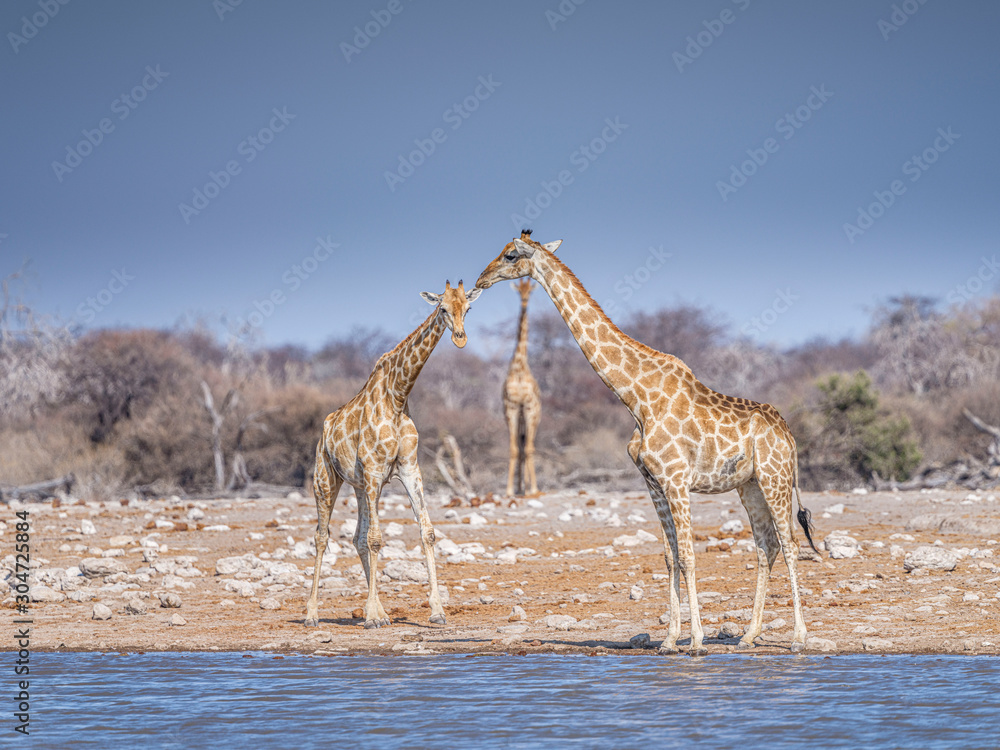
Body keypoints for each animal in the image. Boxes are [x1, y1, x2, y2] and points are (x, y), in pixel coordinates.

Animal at [305, 281, 482, 629]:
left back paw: (381, 612)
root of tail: (324, 431)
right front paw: (372, 617)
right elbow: (377, 539)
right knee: (321, 536)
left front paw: (437, 611)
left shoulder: (409, 469)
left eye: (468, 308)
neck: (398, 396)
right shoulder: (375, 471)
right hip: (325, 480)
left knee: (357, 537)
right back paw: (312, 614)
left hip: (359, 487)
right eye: (443, 308)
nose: (460, 338)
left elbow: (427, 532)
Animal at [476, 234, 817, 654]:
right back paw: (749, 635)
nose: (480, 279)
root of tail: (787, 432)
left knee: (790, 545)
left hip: (775, 477)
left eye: (510, 255)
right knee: (766, 545)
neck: (636, 398)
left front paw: (696, 640)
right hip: (749, 485)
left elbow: (688, 556)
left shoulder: (676, 480)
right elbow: (669, 557)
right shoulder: (653, 482)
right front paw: (670, 639)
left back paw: (799, 637)